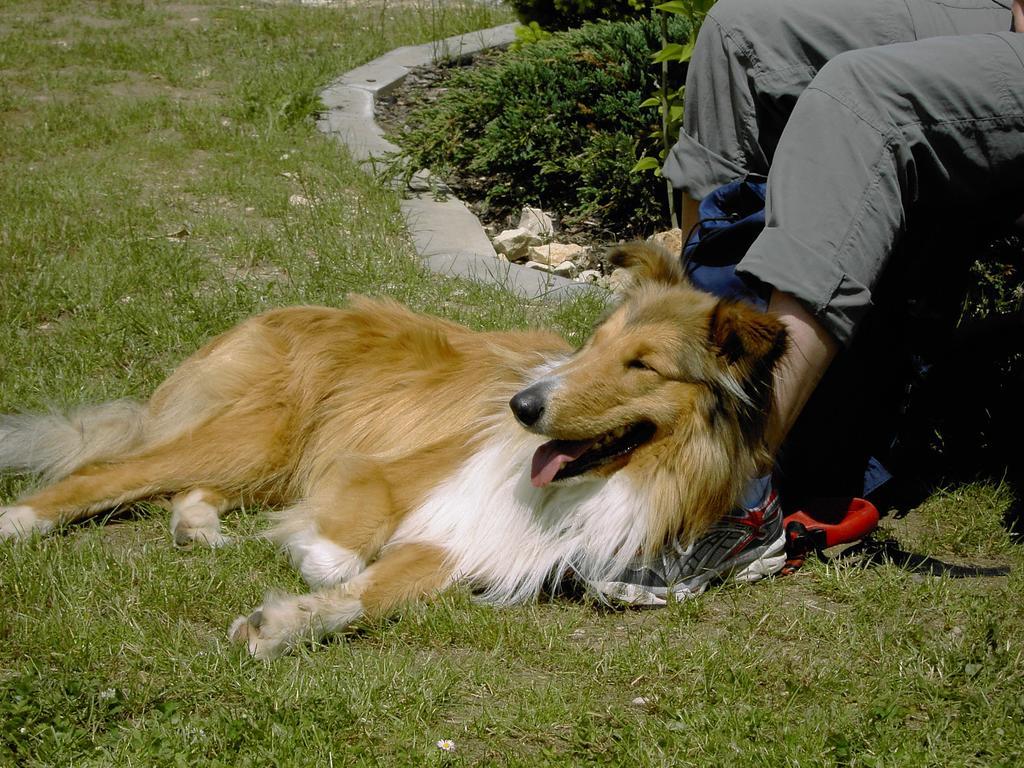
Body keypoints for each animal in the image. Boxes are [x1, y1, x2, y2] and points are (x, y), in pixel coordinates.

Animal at [0, 243, 782, 659]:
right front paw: (313, 554)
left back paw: (198, 526)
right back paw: (19, 521)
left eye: (642, 365)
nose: (521, 406)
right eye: (594, 344)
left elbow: (369, 598)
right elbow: (347, 554)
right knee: (106, 472)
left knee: (192, 488)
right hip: (259, 436)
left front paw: (279, 625)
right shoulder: (385, 472)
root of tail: (265, 317)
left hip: (263, 457)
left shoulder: (469, 541)